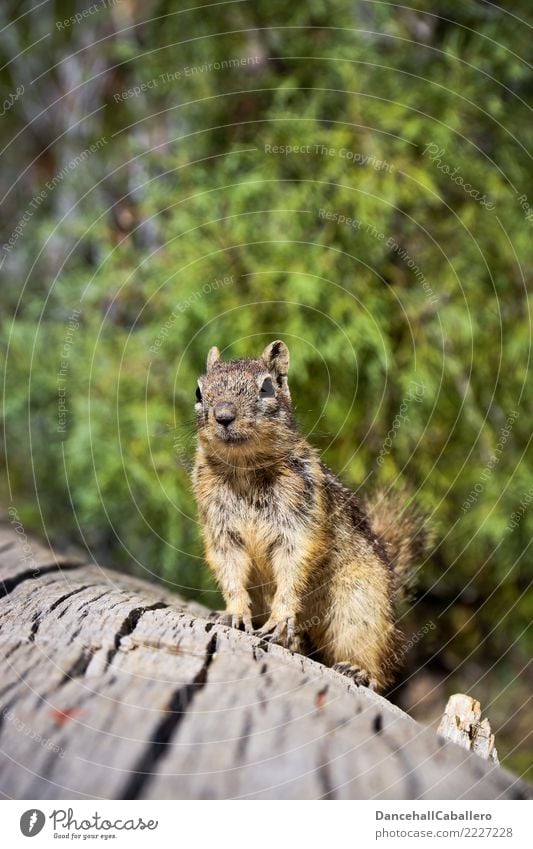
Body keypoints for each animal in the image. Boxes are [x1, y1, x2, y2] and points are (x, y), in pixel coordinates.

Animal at [191, 338, 428, 688]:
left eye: (266, 388)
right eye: (198, 392)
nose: (223, 416)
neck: (245, 467)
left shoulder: (300, 518)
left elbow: (293, 564)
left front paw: (280, 617)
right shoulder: (221, 527)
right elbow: (229, 567)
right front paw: (233, 611)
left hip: (360, 608)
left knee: (375, 660)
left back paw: (355, 668)